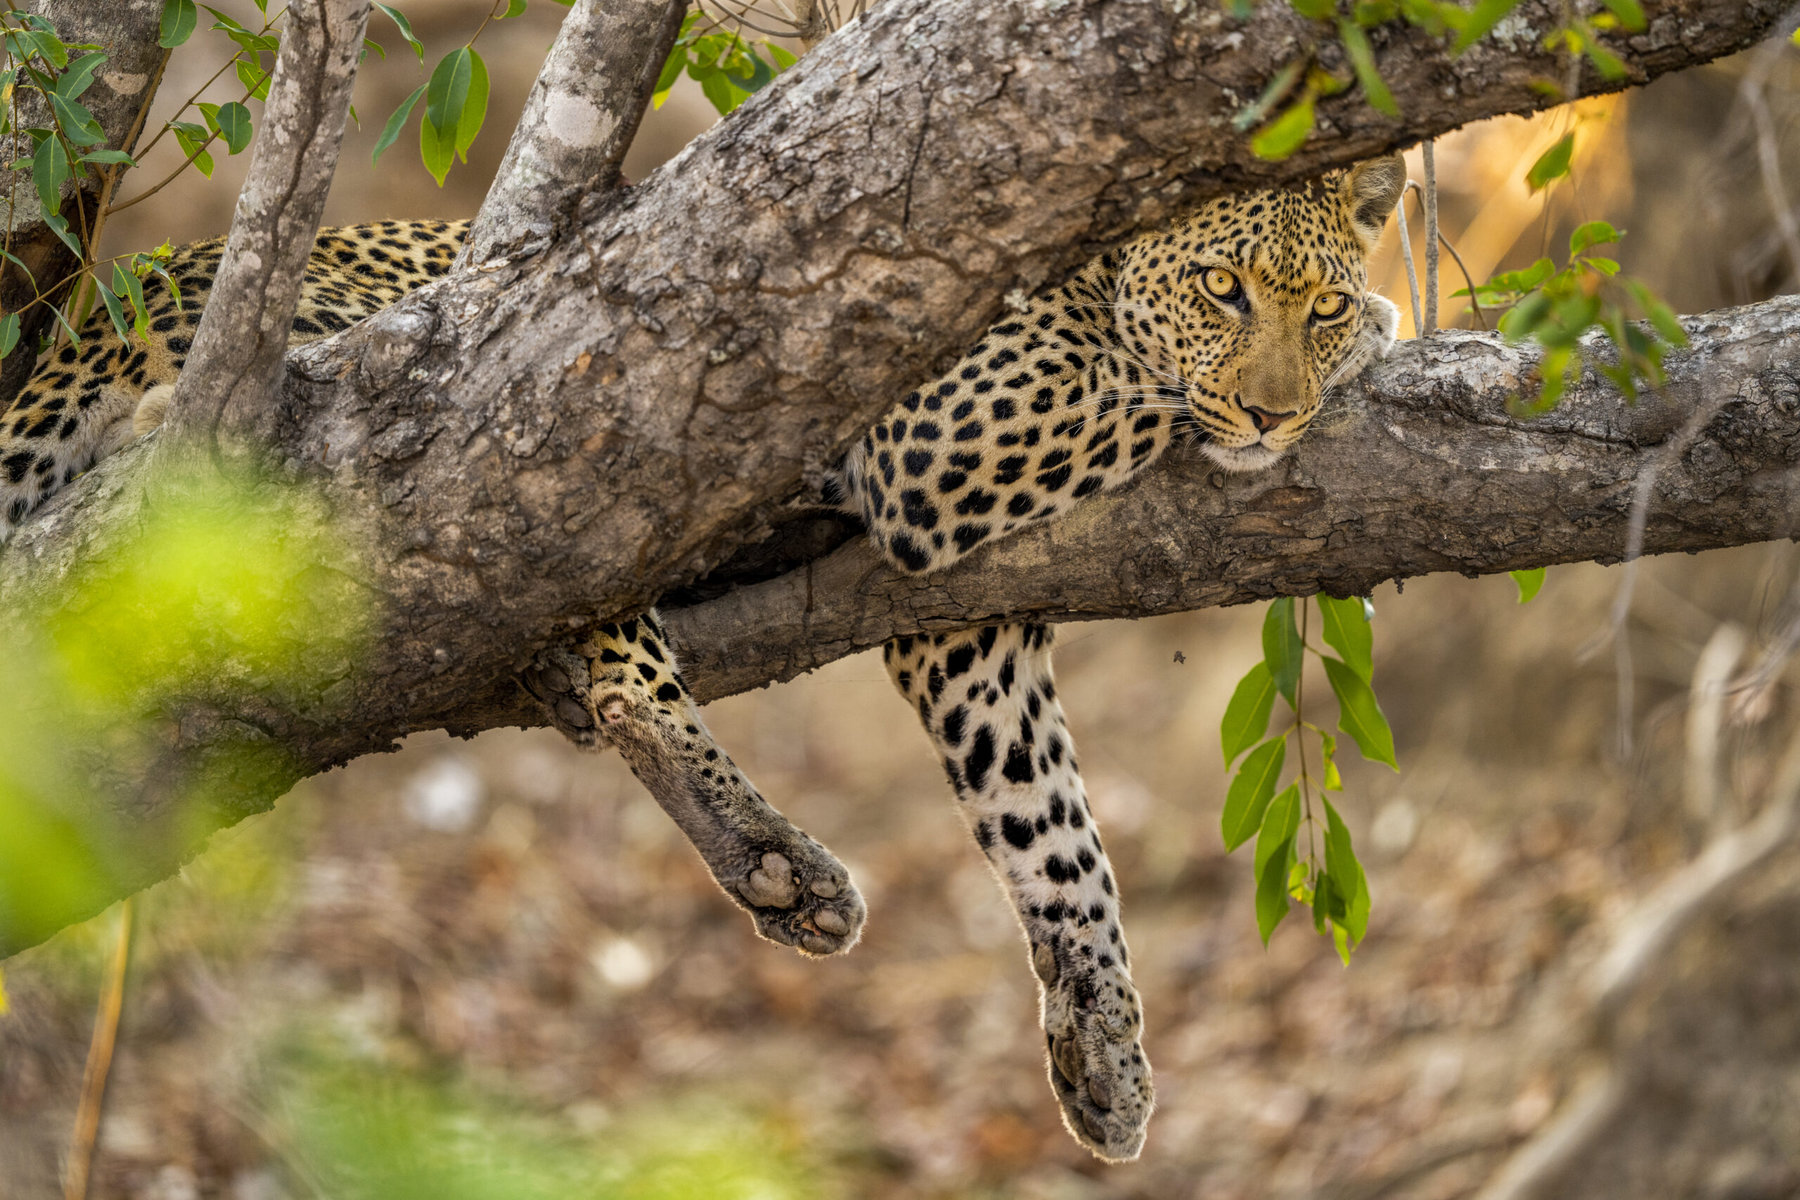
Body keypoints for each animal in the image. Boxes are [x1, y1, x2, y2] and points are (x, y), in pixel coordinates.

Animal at [0, 154, 1404, 1158]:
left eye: (1315, 303)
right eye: (1223, 290)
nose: (1275, 412)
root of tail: (89, 326)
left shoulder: (967, 623)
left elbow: (1047, 818)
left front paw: (1103, 1041)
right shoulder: (937, 438)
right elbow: (1138, 392)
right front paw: (1389, 332)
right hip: (451, 399)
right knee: (578, 621)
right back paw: (771, 853)